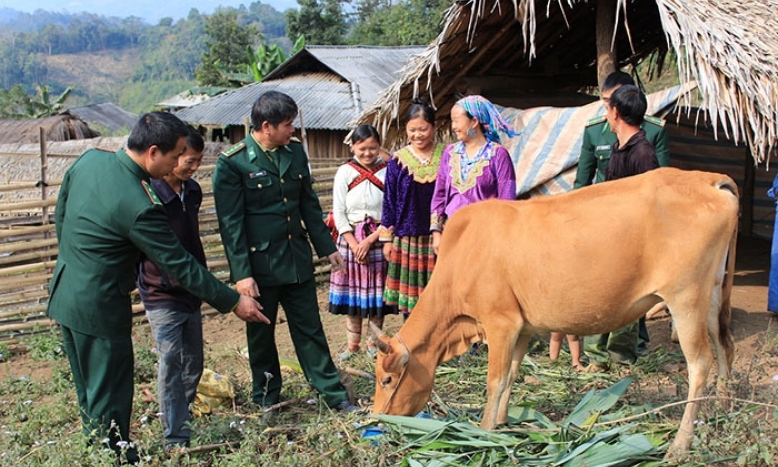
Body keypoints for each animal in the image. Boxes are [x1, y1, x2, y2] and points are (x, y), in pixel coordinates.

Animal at [372, 167, 736, 458]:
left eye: (386, 379)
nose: (378, 420)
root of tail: (708, 180)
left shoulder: (500, 323)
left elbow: (495, 380)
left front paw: (485, 431)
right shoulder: (522, 326)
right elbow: (512, 375)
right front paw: (503, 422)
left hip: (685, 298)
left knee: (700, 363)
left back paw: (680, 443)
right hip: (713, 294)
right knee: (725, 346)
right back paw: (723, 408)